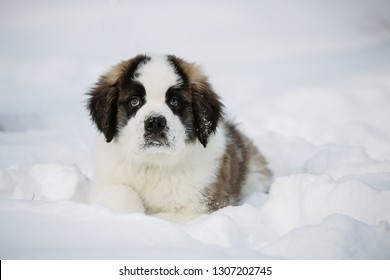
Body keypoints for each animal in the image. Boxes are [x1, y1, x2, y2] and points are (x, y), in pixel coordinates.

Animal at [87, 54, 272, 221]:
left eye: (175, 101)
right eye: (134, 101)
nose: (155, 122)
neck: (154, 165)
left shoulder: (197, 209)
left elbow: (162, 217)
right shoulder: (103, 183)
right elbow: (121, 193)